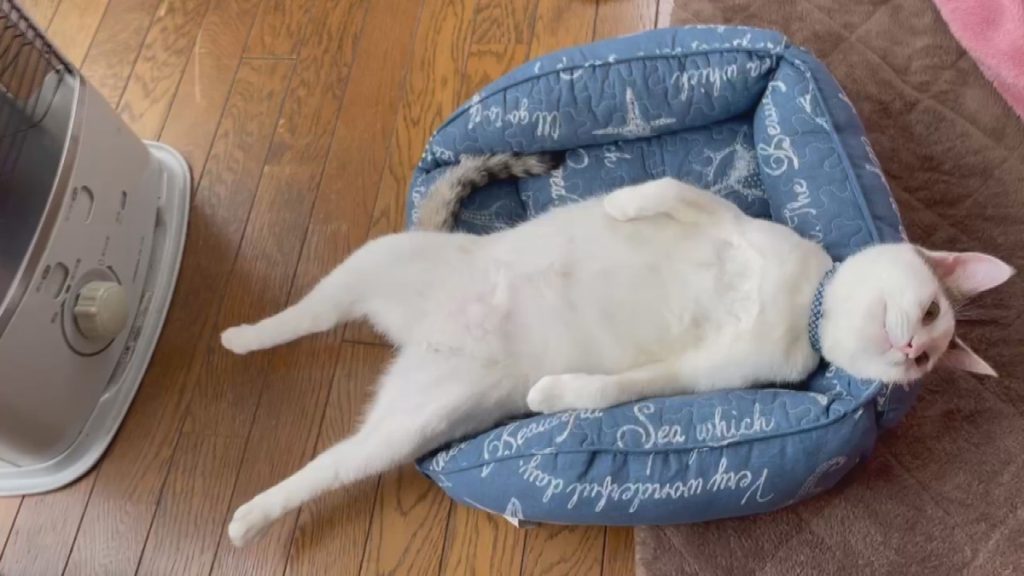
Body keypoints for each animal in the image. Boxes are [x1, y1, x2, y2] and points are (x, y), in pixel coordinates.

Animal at [219, 154, 1013, 546]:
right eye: (931, 311)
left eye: (926, 359)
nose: (909, 346)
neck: (802, 304)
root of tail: (416, 336)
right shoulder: (730, 222)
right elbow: (670, 189)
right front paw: (619, 205)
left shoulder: (704, 375)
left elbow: (614, 389)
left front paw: (554, 394)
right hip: (372, 266)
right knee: (303, 313)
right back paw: (239, 333)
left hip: (404, 427)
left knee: (328, 465)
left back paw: (247, 518)